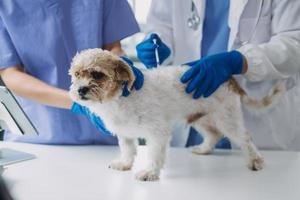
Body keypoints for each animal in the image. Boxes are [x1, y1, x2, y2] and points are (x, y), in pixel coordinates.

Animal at [69, 48, 284, 181]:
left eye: (97, 75)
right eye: (77, 74)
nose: (80, 90)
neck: (121, 99)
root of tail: (228, 77)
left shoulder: (158, 133)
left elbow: (155, 154)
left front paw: (150, 172)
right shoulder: (125, 134)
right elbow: (128, 150)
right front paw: (124, 164)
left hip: (227, 118)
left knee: (245, 138)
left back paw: (255, 161)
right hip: (201, 118)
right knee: (214, 134)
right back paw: (203, 150)